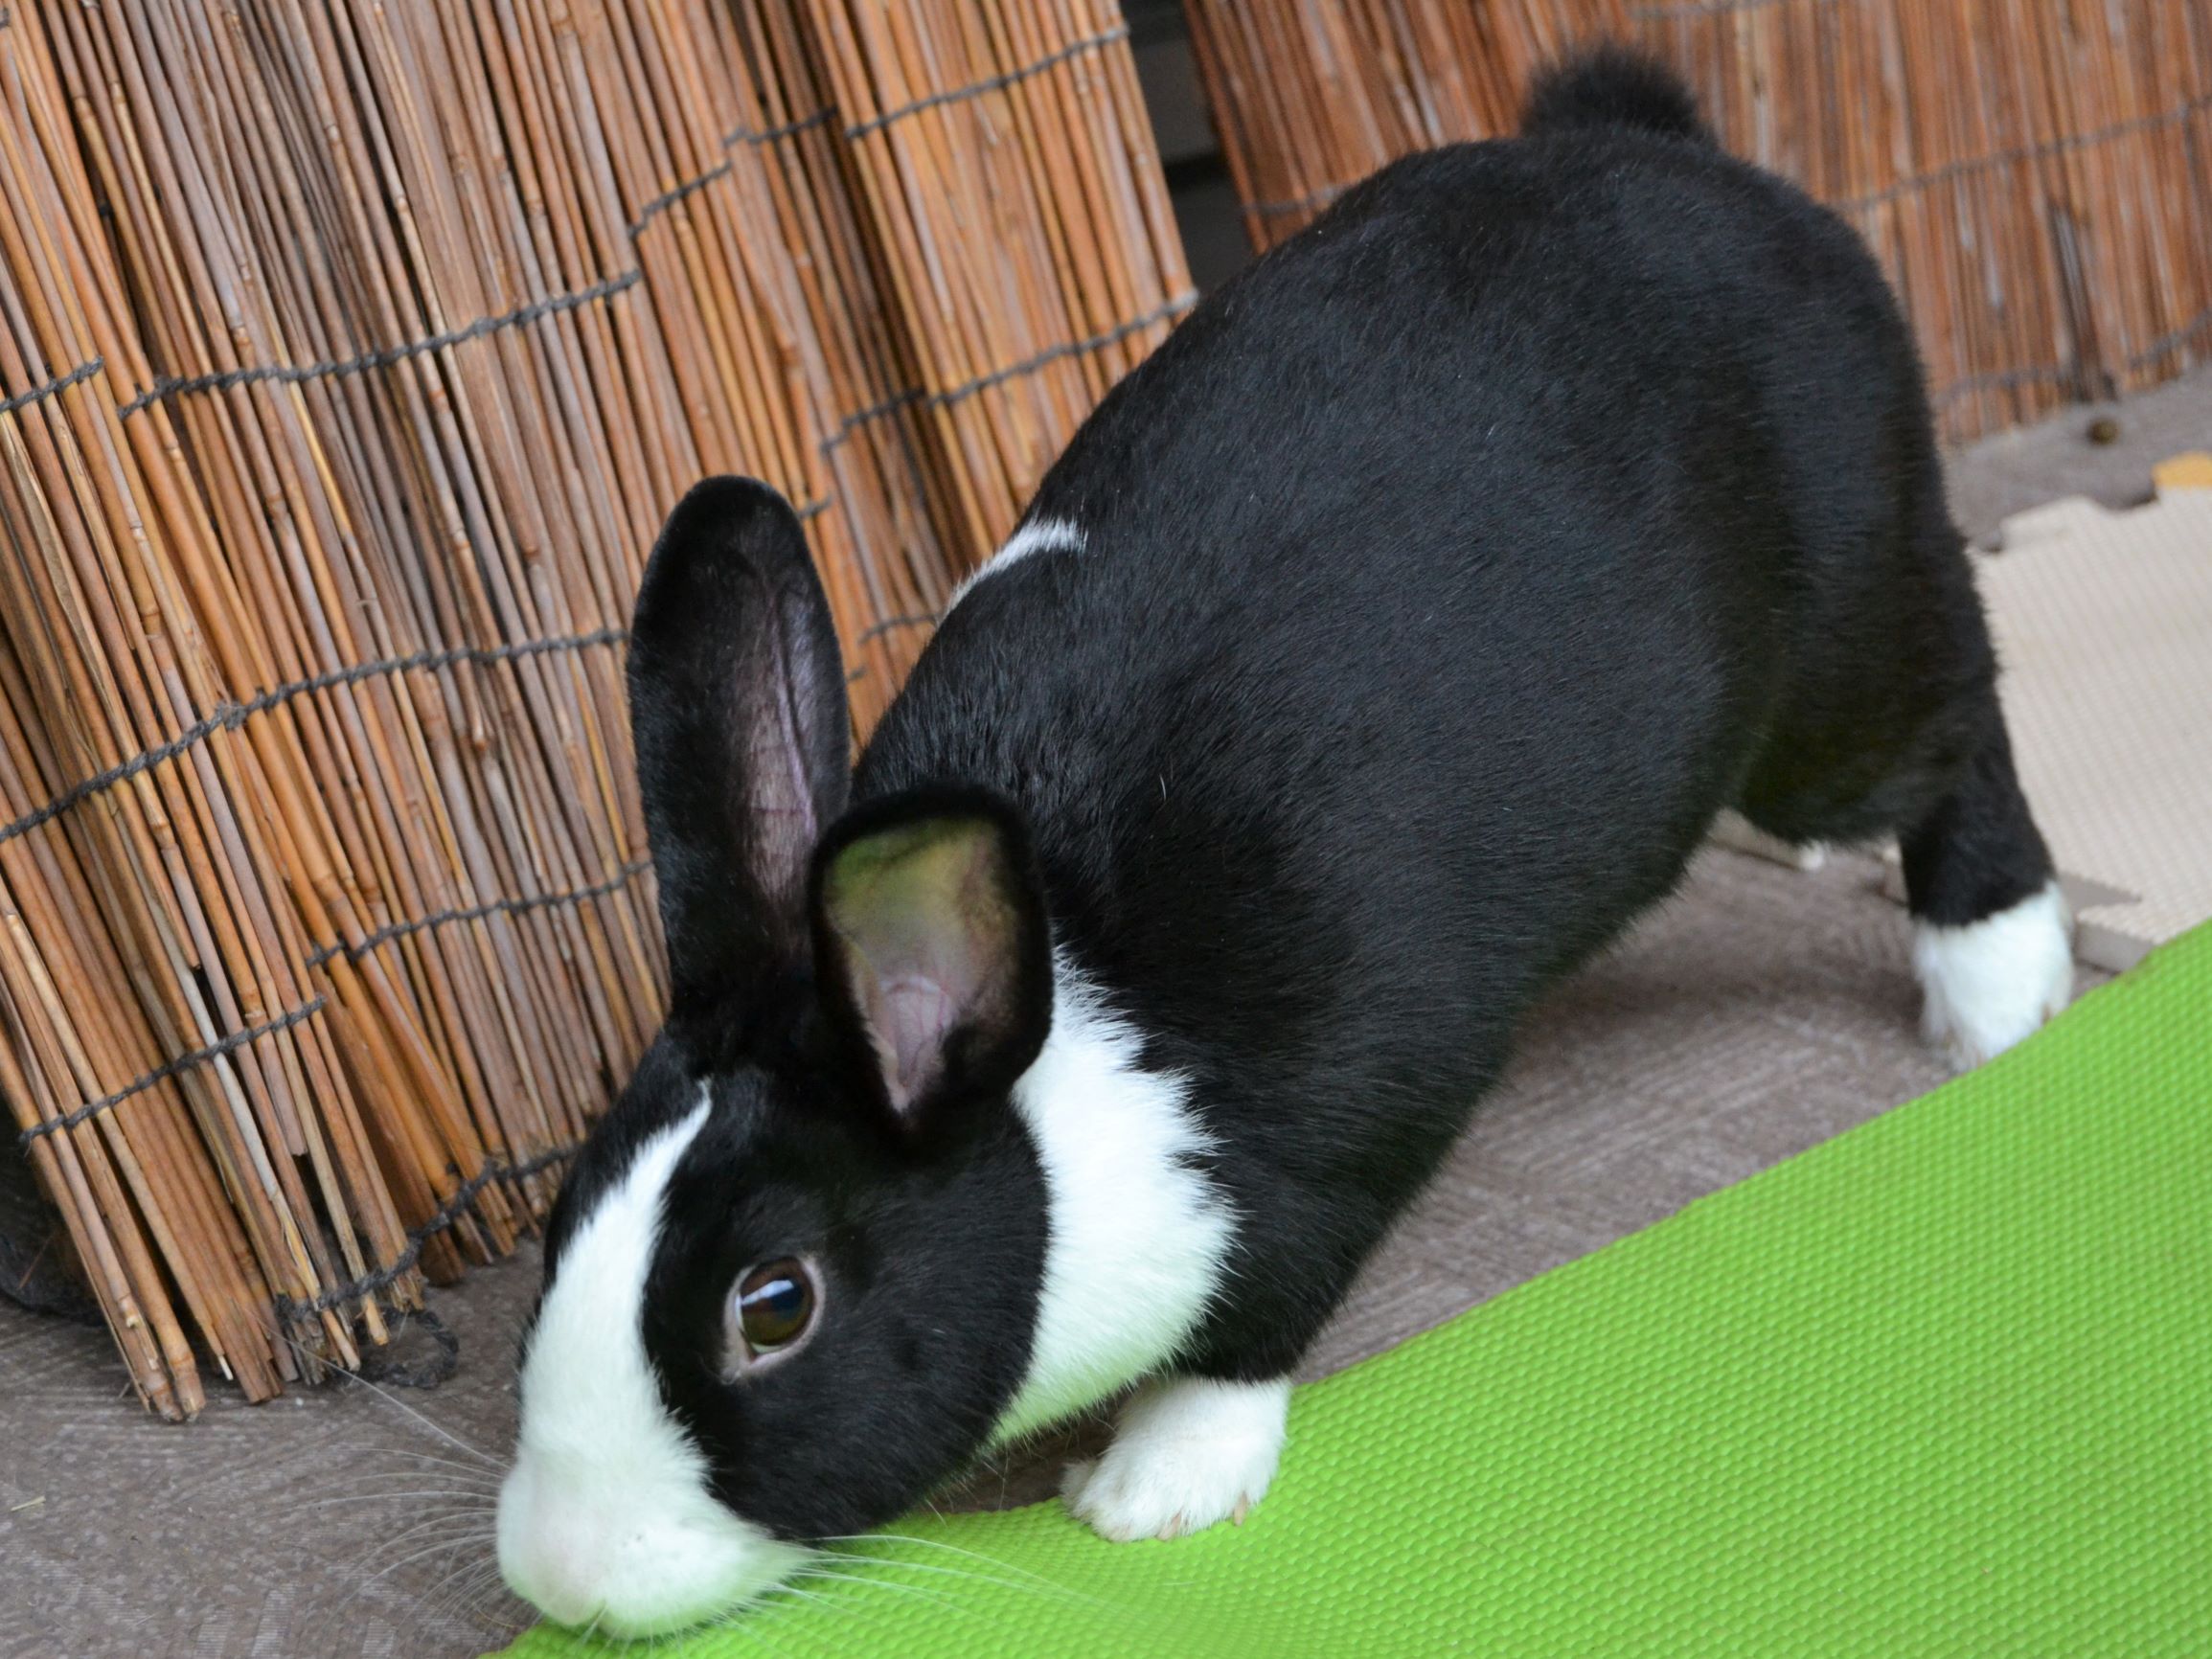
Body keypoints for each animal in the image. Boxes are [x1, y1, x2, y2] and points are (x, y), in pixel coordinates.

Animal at [496, 46, 2072, 1637]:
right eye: (562, 1223)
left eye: (774, 1306)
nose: (562, 1575)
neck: (1073, 1035)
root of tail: (1680, 161)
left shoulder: (1335, 1141)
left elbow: (1254, 1315)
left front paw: (1152, 1491)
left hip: (1838, 679)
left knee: (1959, 722)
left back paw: (1997, 1002)